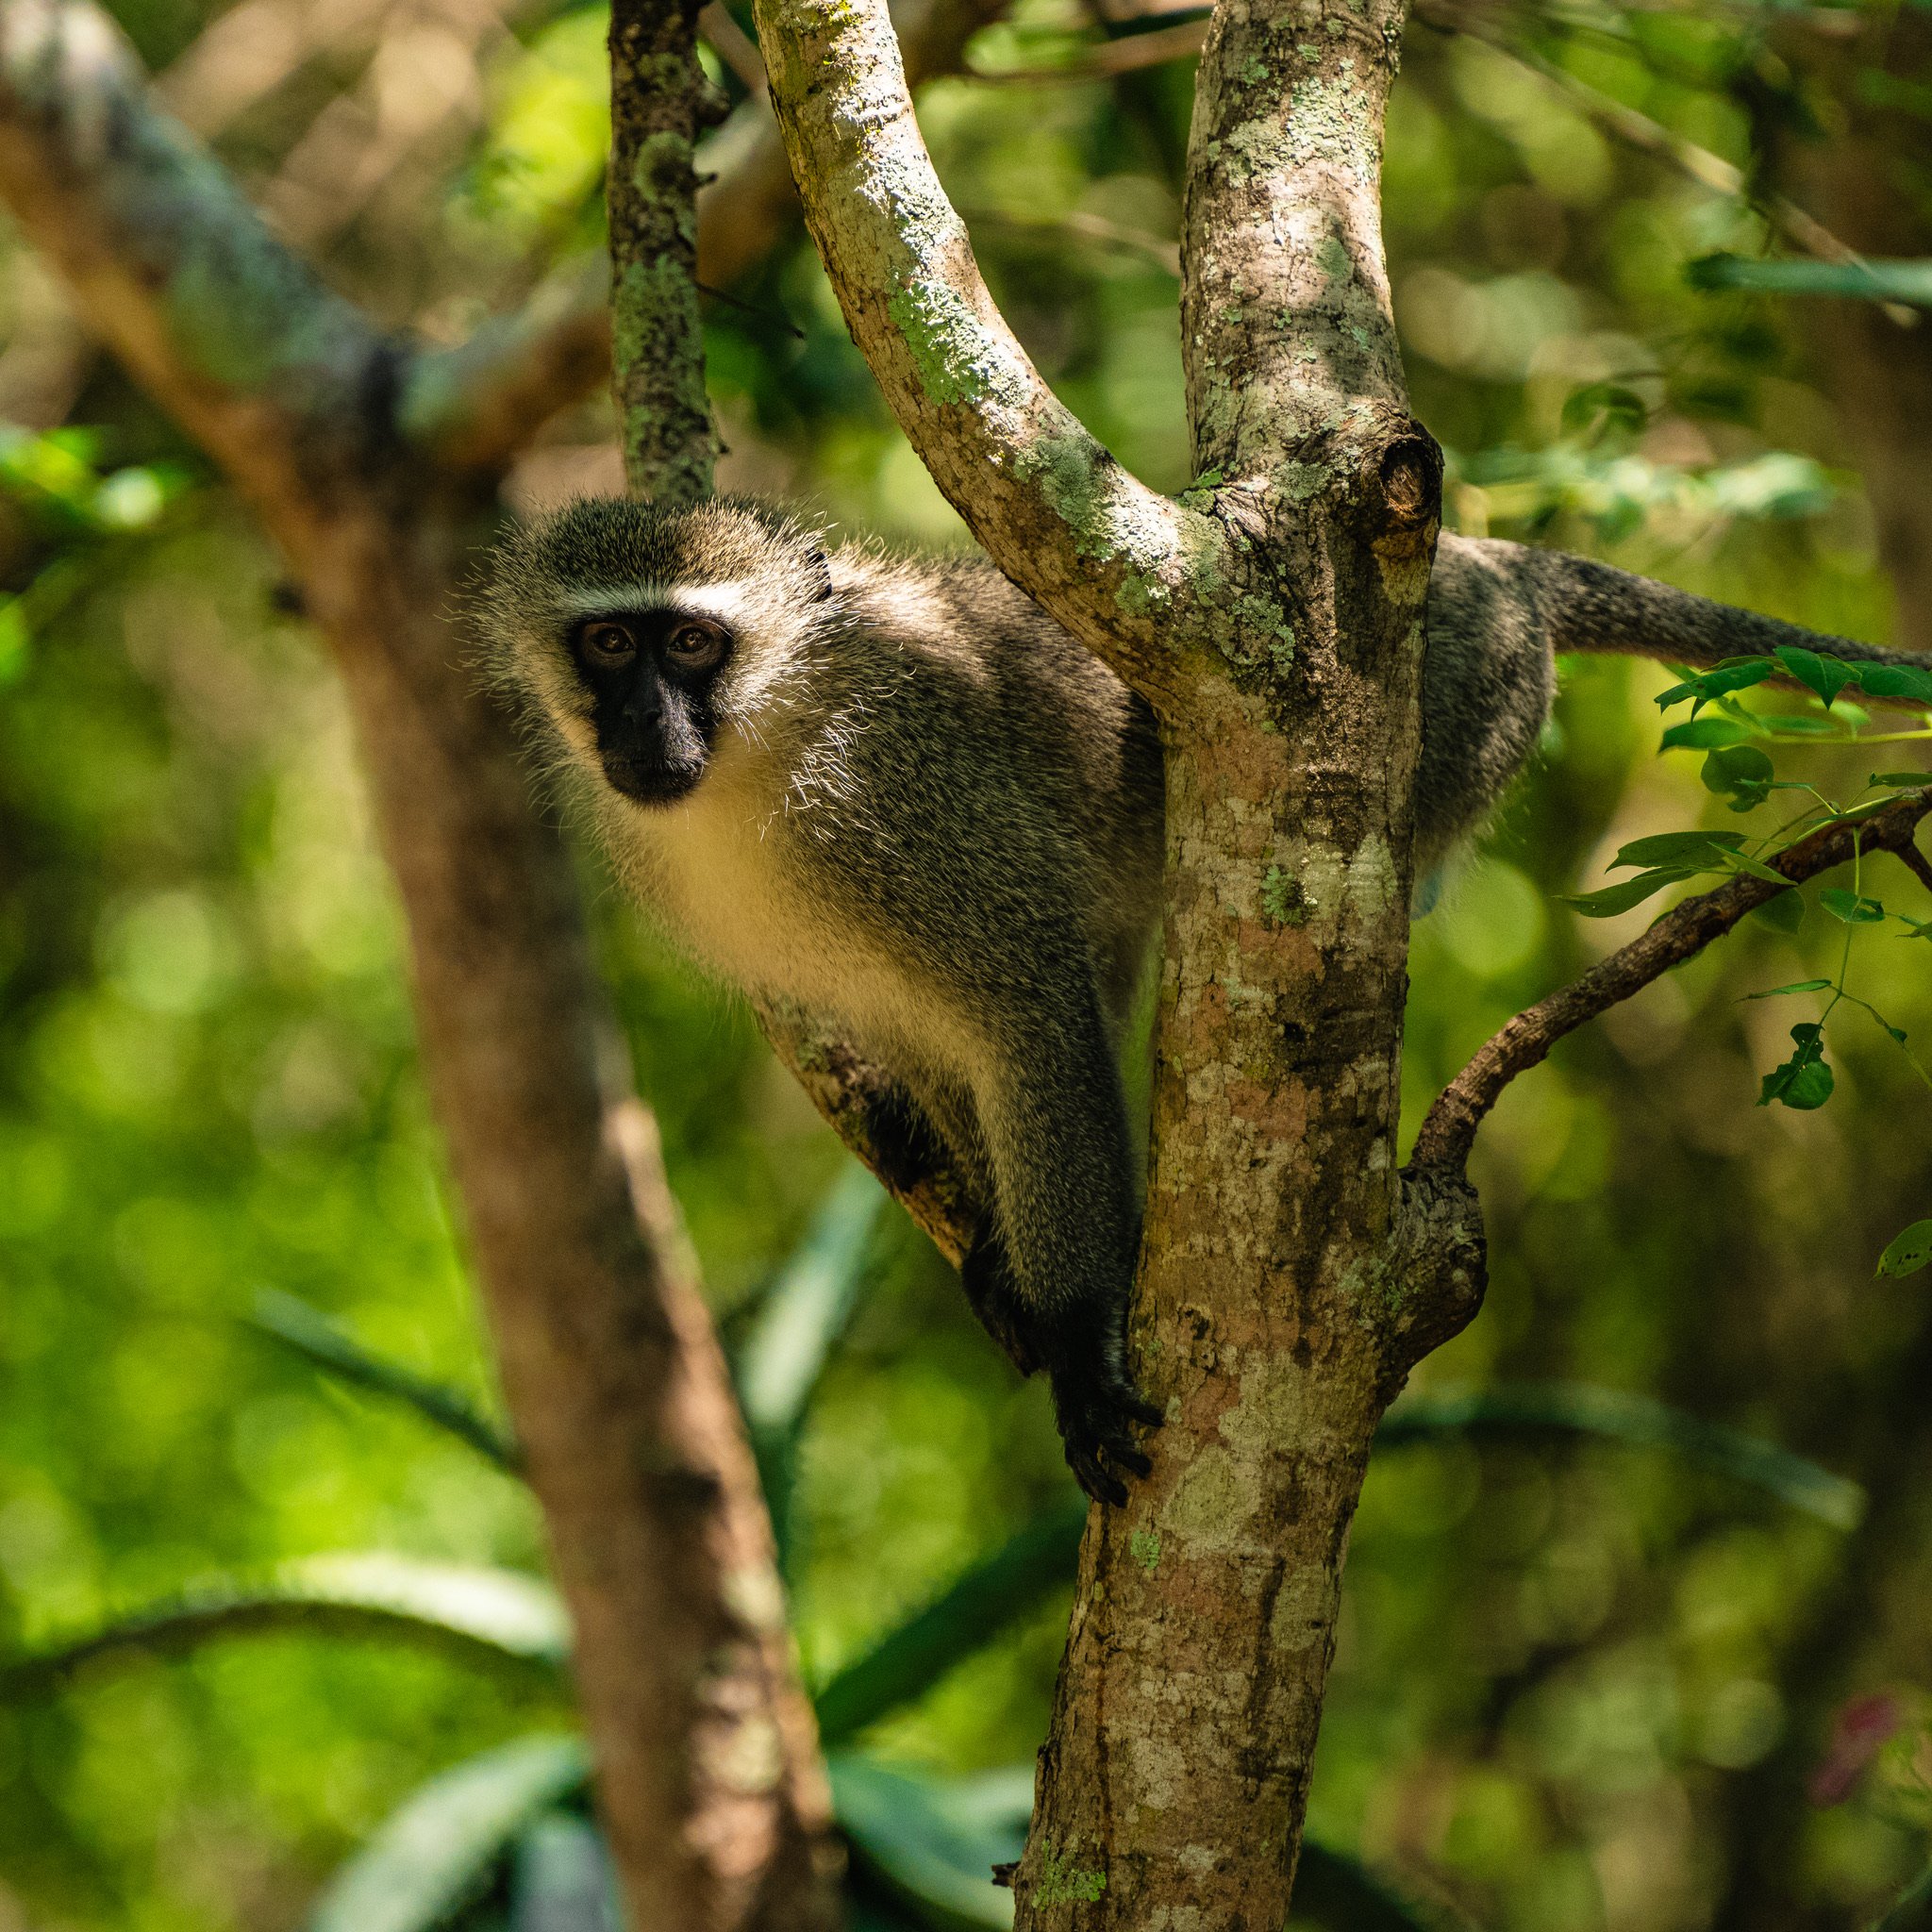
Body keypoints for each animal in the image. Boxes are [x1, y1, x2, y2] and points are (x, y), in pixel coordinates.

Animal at [480, 495, 1917, 1502]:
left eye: (690, 642)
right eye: (607, 642)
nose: (647, 729)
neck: (768, 748)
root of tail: (1488, 568)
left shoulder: (922, 821)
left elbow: (1035, 1017)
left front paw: (1079, 1328)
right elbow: (941, 1048)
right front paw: (1001, 1261)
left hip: (1463, 698)